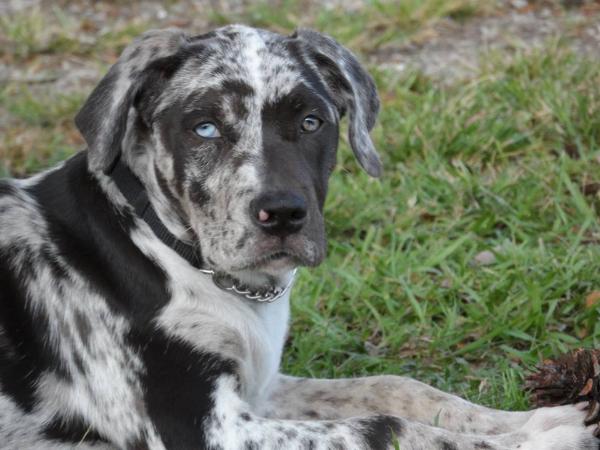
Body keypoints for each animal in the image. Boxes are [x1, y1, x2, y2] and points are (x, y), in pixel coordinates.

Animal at [0, 25, 596, 450]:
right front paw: (538, 440)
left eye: (312, 122)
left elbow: (396, 387)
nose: (283, 214)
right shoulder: (207, 429)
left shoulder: (261, 390)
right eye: (204, 128)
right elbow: (384, 427)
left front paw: (525, 420)